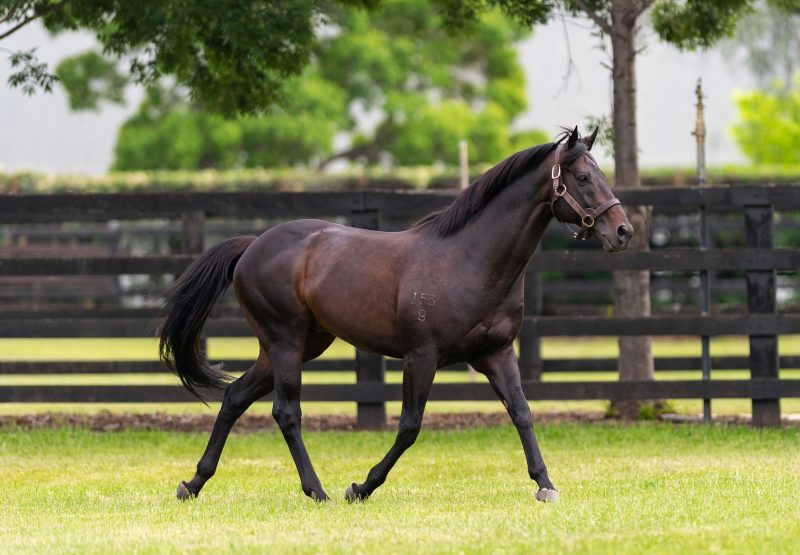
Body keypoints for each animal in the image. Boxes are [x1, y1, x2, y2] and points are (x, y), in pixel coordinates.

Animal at [158, 126, 632, 504]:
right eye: (583, 178)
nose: (623, 231)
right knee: (286, 412)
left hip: (298, 345)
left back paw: (193, 484)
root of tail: (253, 245)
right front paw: (361, 487)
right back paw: (318, 490)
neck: (469, 259)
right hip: (285, 341)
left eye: (602, 175)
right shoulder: (421, 356)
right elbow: (409, 426)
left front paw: (545, 485)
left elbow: (522, 412)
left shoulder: (497, 353)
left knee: (234, 397)